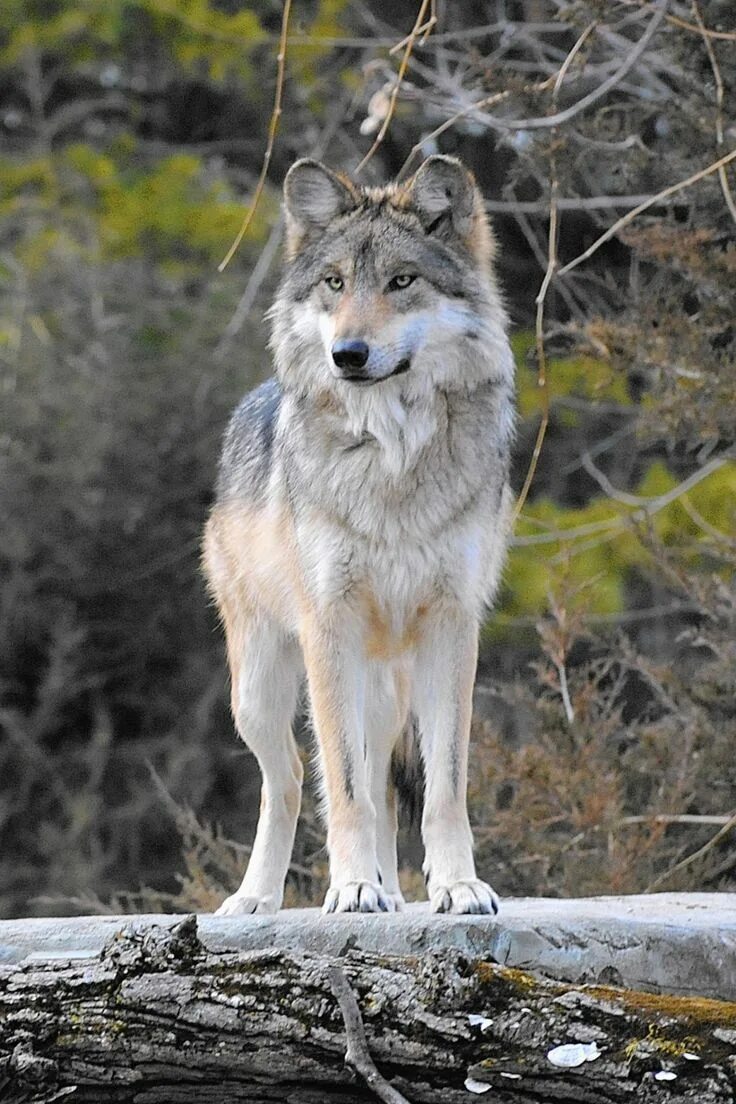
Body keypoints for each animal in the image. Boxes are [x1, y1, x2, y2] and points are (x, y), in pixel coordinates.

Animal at [204, 153, 516, 914]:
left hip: (384, 689)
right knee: (290, 779)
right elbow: (340, 786)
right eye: (335, 283)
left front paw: (457, 886)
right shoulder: (329, 627)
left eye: (402, 281)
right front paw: (349, 890)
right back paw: (258, 899)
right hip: (259, 691)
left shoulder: (453, 626)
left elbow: (443, 786)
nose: (348, 353)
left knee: (380, 786)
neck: (392, 457)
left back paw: (392, 894)